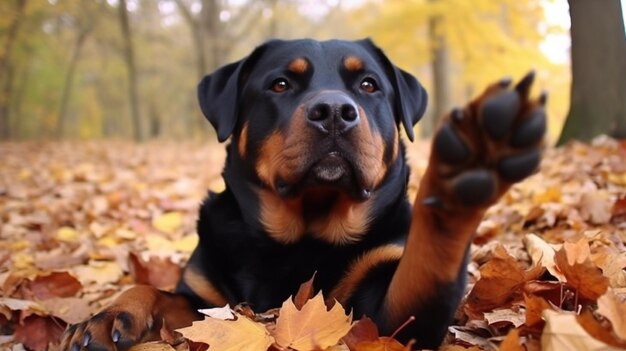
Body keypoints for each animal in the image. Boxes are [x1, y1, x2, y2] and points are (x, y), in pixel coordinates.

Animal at [61, 38, 544, 350]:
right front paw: (111, 315)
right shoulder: (206, 298)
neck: (299, 239)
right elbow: (157, 291)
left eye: (368, 85)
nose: (333, 110)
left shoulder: (387, 316)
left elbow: (424, 269)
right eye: (280, 84)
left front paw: (468, 167)